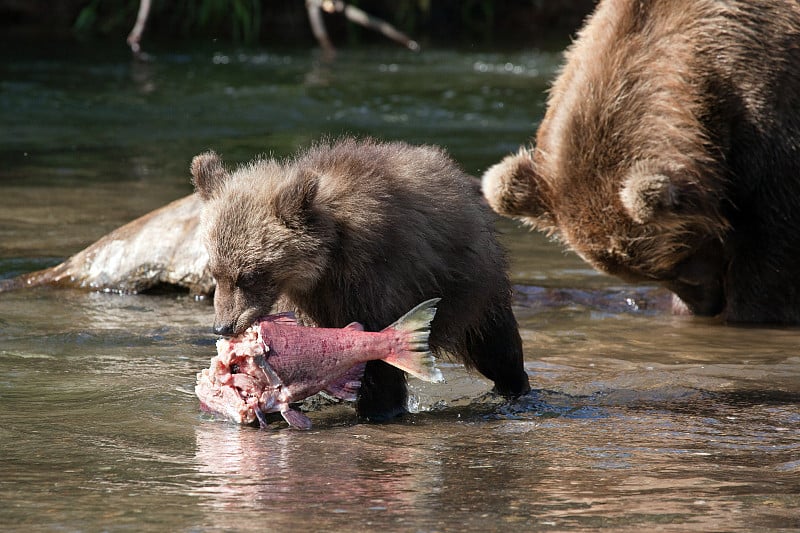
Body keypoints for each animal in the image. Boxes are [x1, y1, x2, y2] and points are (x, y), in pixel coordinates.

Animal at [191, 137, 532, 420]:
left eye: (250, 275)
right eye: (216, 272)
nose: (223, 326)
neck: (327, 256)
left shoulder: (374, 273)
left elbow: (377, 352)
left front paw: (378, 408)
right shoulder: (311, 297)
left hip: (472, 285)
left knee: (495, 346)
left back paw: (514, 388)